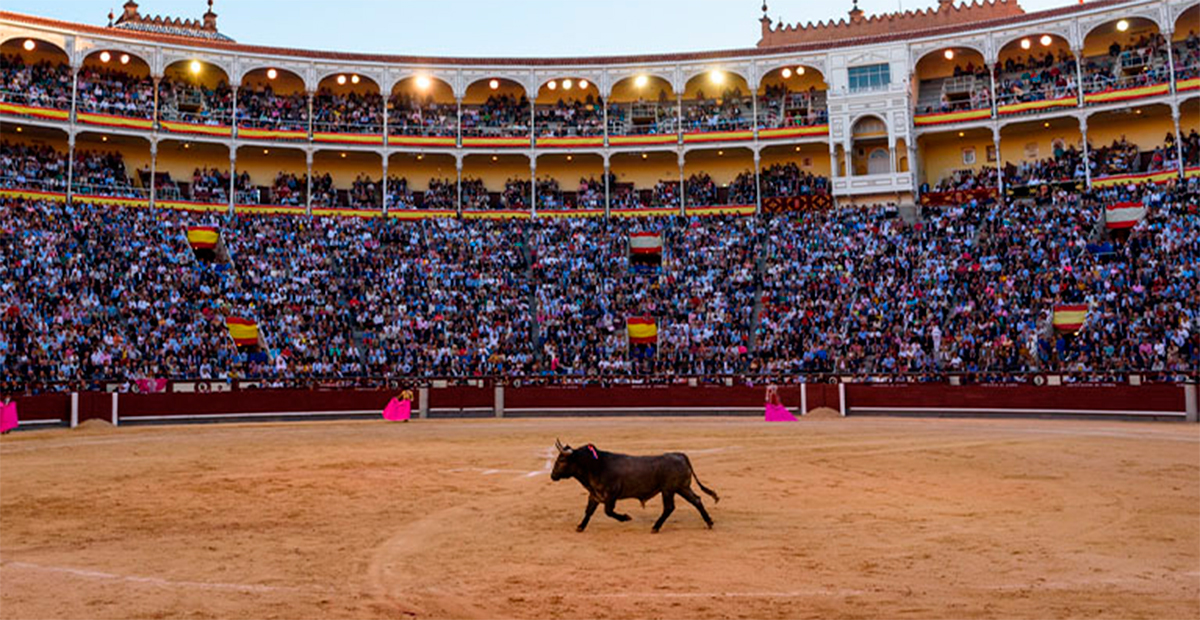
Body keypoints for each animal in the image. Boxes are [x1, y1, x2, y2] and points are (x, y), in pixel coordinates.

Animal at [552, 438, 720, 532]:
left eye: (562, 460)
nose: (552, 475)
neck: (596, 465)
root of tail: (680, 455)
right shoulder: (594, 495)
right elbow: (588, 511)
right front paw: (580, 527)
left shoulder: (611, 495)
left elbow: (608, 511)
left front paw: (626, 518)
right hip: (682, 488)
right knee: (696, 500)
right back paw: (709, 522)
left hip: (669, 490)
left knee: (669, 507)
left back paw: (655, 527)